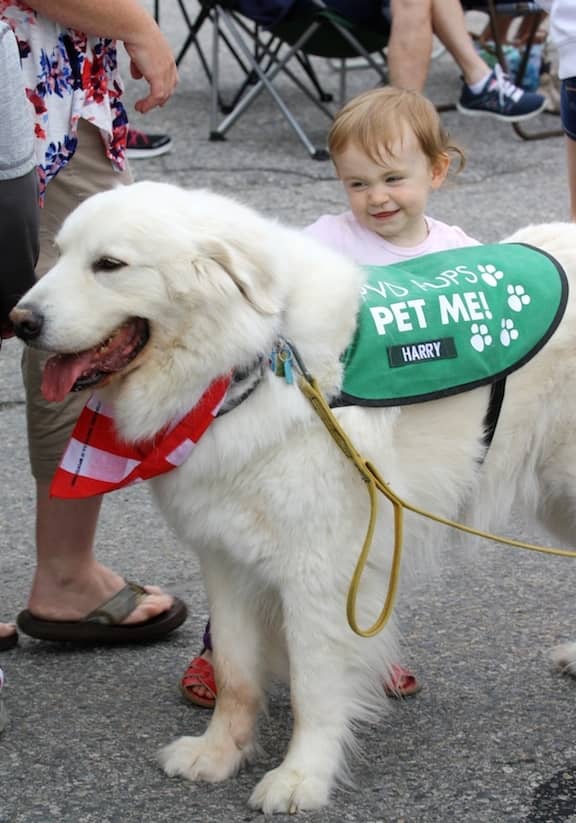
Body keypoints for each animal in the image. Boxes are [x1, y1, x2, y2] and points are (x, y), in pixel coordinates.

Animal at [10, 183, 576, 816]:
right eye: (60, 255)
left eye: (109, 265)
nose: (20, 322)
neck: (255, 364)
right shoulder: (225, 558)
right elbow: (235, 673)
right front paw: (219, 755)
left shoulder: (319, 574)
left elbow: (312, 688)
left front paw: (302, 777)